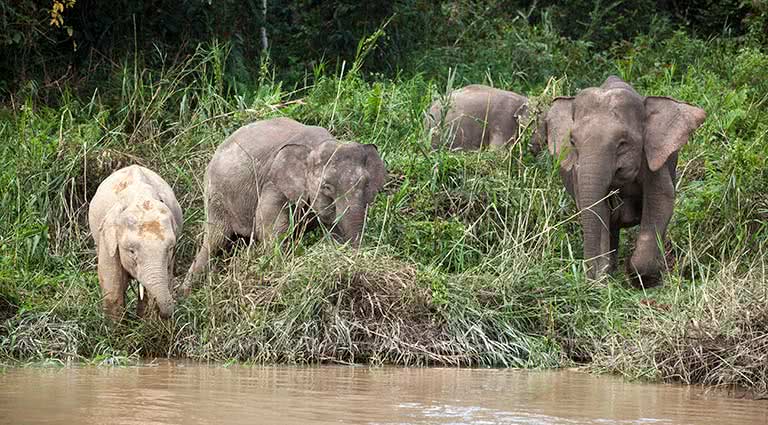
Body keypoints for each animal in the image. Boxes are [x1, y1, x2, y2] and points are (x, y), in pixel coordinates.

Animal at [87, 164, 183, 320]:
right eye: (131, 251)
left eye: (169, 249)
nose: (167, 314)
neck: (140, 196)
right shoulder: (108, 238)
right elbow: (113, 288)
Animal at [182, 117, 388, 294]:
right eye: (327, 187)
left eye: (366, 184)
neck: (316, 145)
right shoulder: (274, 183)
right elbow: (269, 228)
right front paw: (280, 273)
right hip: (216, 197)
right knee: (215, 240)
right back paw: (186, 292)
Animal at [532, 75, 704, 286]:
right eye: (572, 142)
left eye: (623, 143)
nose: (588, 279)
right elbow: (599, 211)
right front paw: (603, 279)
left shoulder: (654, 160)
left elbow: (661, 201)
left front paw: (643, 279)